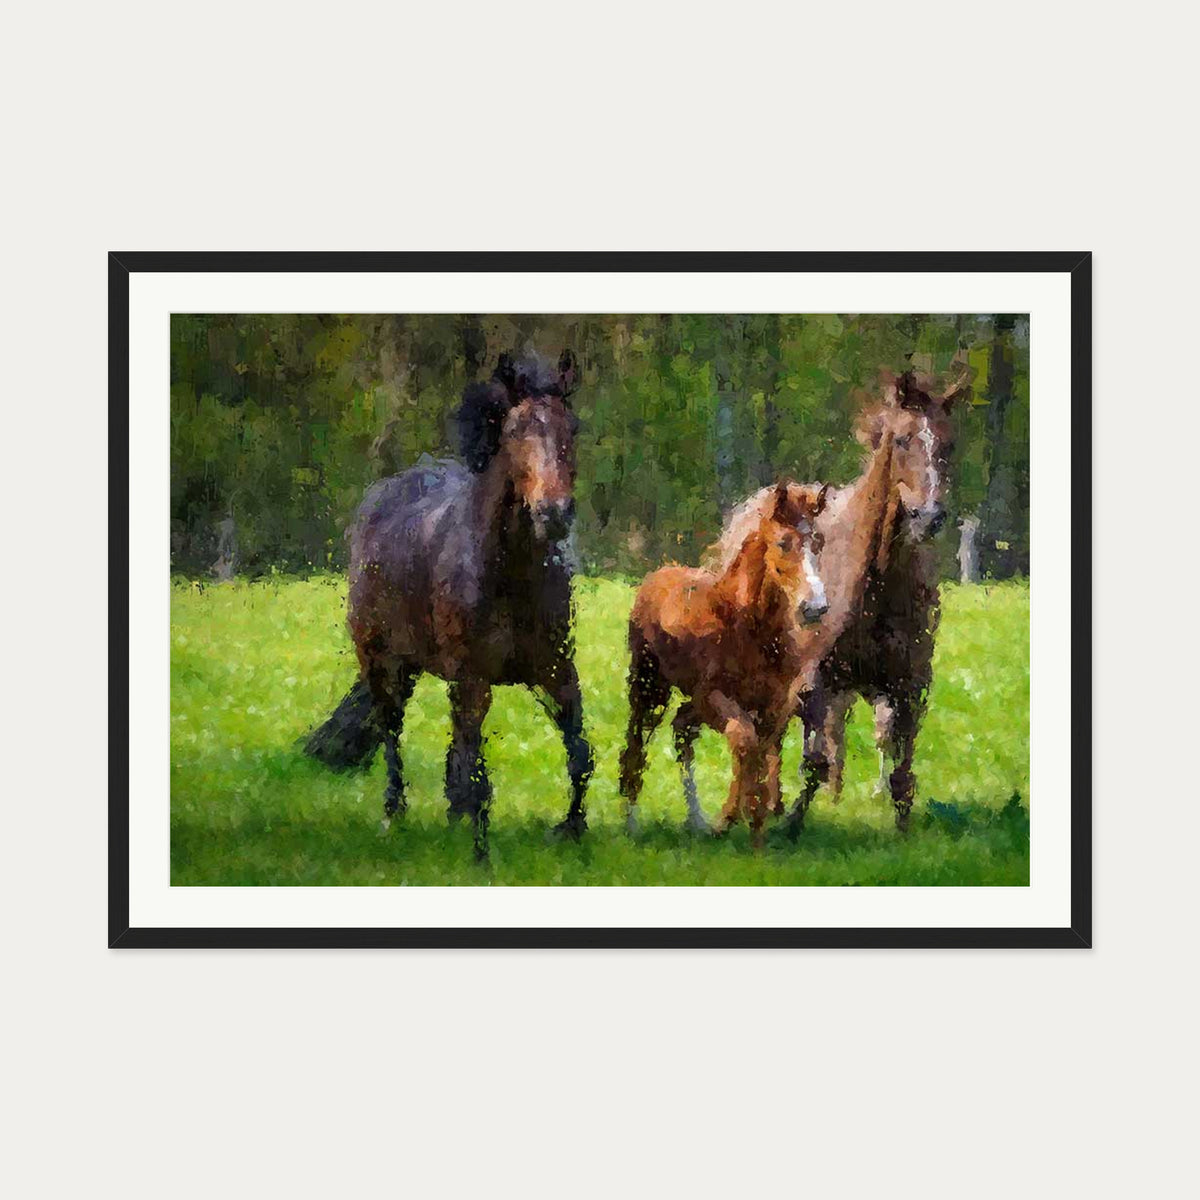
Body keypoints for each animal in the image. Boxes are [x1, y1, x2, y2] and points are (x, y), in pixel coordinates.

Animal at [303, 350, 592, 860]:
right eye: (514, 431)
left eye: (571, 427)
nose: (554, 514)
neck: (508, 575)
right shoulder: (473, 677)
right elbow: (476, 771)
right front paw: (480, 854)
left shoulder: (555, 668)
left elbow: (579, 752)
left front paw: (572, 831)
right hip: (383, 662)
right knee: (392, 731)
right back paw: (394, 813)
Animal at [619, 480, 830, 847]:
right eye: (783, 543)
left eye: (819, 542)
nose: (815, 607)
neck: (748, 626)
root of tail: (658, 575)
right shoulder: (713, 697)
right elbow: (744, 741)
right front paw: (730, 819)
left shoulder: (775, 705)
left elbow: (761, 753)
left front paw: (755, 827)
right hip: (649, 688)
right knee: (637, 743)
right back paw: (633, 824)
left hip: (688, 702)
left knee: (682, 729)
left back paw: (697, 820)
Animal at [710, 364, 971, 833]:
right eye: (902, 439)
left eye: (949, 442)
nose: (929, 517)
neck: (877, 586)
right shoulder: (816, 680)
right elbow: (813, 759)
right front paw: (792, 824)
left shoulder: (910, 684)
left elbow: (900, 768)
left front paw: (902, 831)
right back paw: (774, 804)